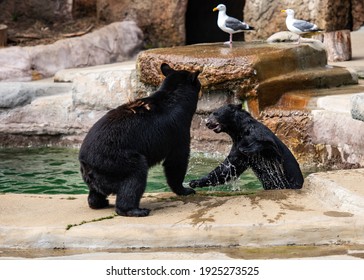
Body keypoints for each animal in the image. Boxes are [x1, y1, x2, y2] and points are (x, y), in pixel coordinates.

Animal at [79, 63, 202, 217]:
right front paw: (185, 189)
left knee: (97, 192)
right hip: (115, 160)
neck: (175, 97)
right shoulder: (178, 129)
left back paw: (99, 202)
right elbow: (176, 159)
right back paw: (135, 210)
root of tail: (86, 164)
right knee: (135, 174)